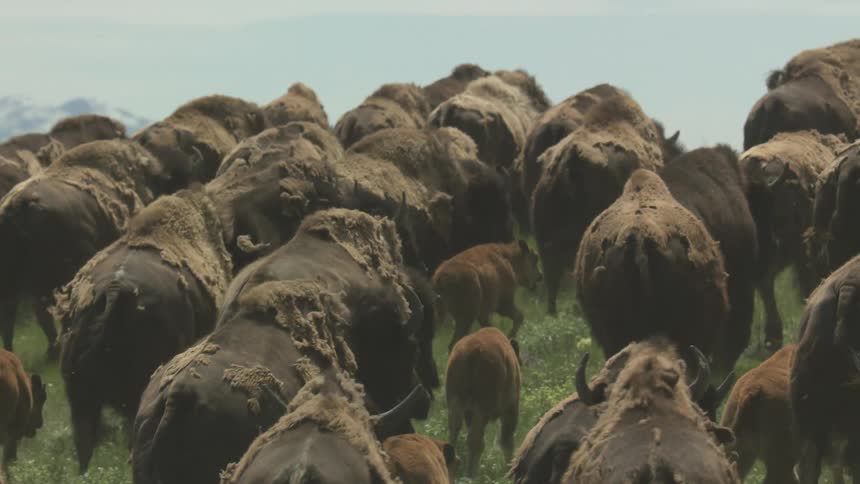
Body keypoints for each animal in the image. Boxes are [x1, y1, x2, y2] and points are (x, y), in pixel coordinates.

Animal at [446, 327, 521, 477]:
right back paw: (471, 474)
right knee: (475, 439)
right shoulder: (511, 407)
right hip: (483, 406)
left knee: (455, 430)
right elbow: (507, 439)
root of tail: (471, 352)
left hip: (455, 401)